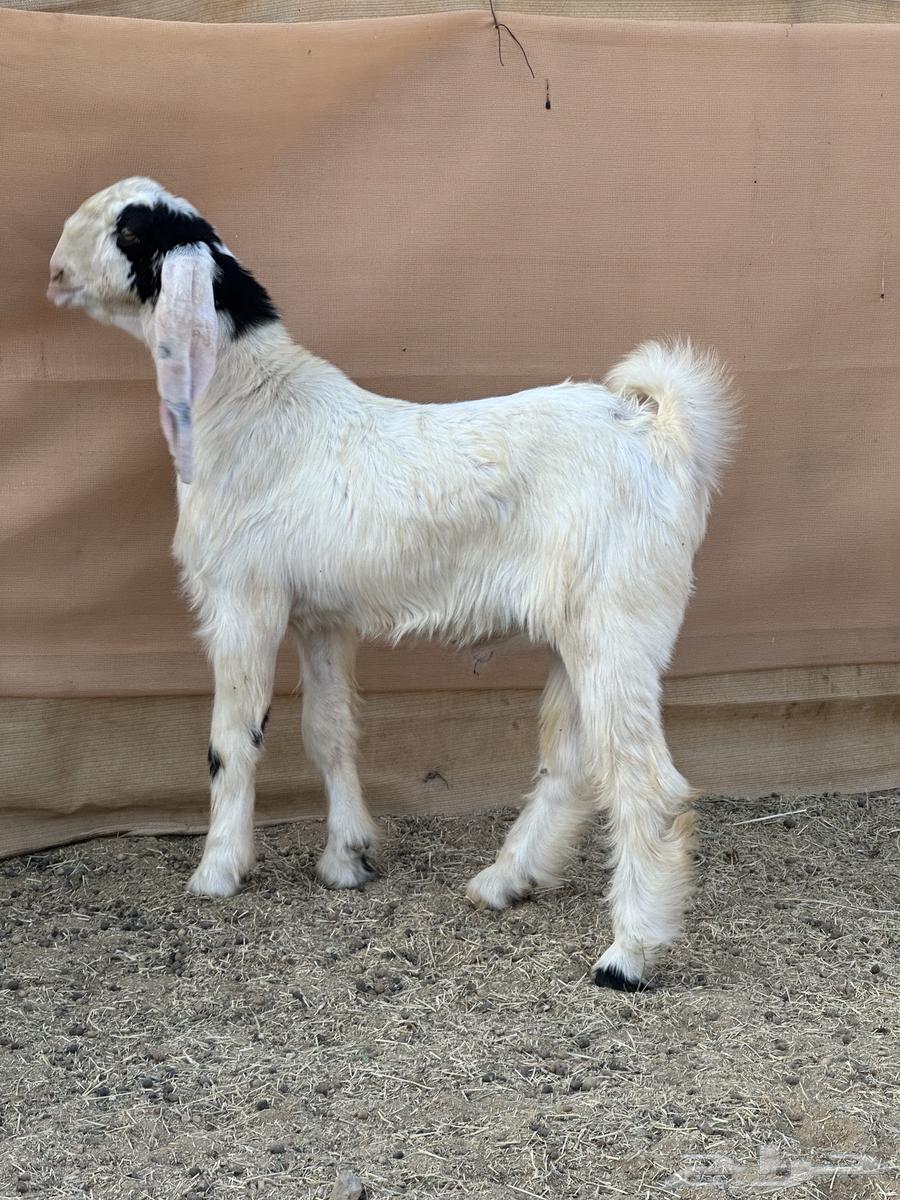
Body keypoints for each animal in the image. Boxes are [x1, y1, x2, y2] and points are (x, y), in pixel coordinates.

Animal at [48, 178, 735, 989]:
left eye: (129, 229)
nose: (54, 269)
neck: (251, 404)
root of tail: (661, 436)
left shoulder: (243, 597)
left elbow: (232, 737)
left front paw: (218, 869)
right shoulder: (320, 616)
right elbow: (329, 729)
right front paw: (348, 857)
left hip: (617, 623)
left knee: (644, 781)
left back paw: (628, 953)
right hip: (582, 628)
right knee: (570, 760)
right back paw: (506, 881)